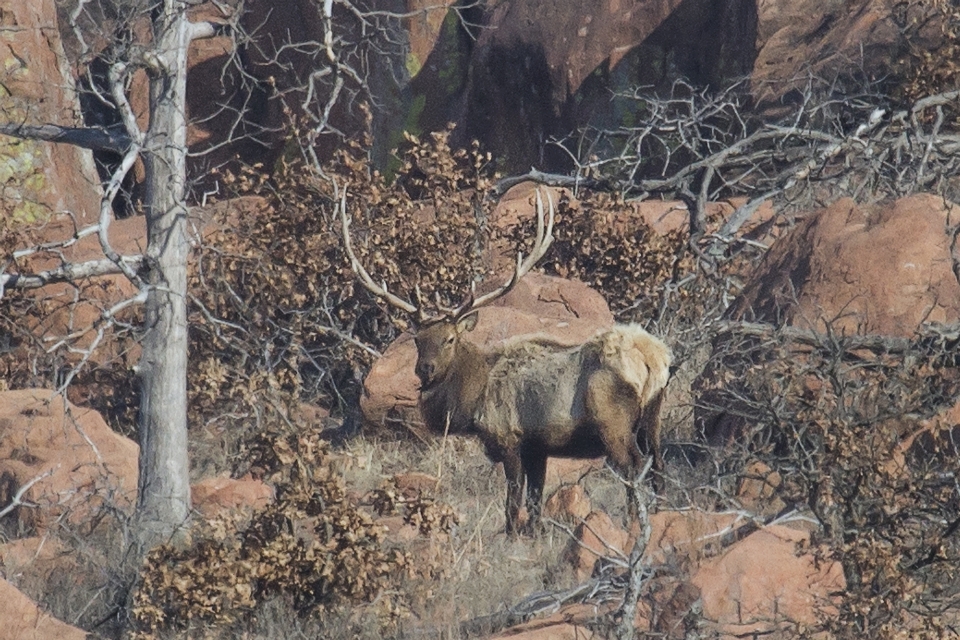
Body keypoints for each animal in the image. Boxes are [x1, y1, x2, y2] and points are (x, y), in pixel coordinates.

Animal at [342, 189, 672, 536]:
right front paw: (535, 534)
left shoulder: (509, 438)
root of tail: (655, 359)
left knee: (634, 466)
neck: (472, 401)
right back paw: (659, 513)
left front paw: (513, 534)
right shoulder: (538, 448)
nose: (425, 369)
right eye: (418, 340)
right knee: (659, 463)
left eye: (450, 339)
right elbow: (536, 500)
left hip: (613, 422)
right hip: (652, 418)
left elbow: (513, 501)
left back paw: (634, 521)